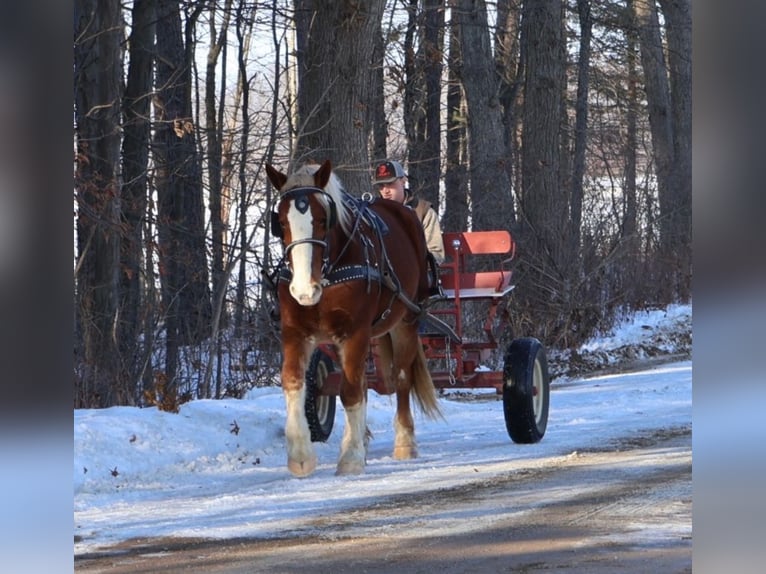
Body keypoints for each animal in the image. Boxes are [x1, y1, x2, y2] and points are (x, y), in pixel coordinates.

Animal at [265, 159, 442, 477]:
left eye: (323, 220)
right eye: (281, 223)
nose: (304, 289)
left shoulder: (355, 331)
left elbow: (349, 391)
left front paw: (349, 457)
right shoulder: (295, 330)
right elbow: (294, 381)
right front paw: (301, 455)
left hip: (406, 320)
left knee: (401, 377)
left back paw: (404, 441)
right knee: (362, 382)